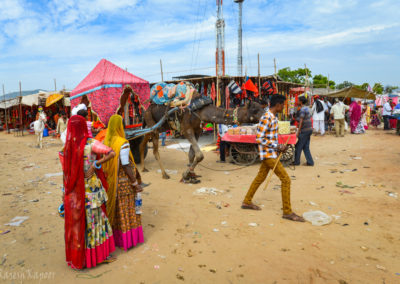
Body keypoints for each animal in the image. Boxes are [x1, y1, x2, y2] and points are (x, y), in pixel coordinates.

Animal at [138, 95, 266, 183]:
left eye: (261, 107)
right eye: (255, 110)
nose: (266, 115)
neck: (201, 111)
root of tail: (146, 109)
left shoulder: (197, 131)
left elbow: (191, 154)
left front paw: (191, 176)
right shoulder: (186, 130)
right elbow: (199, 155)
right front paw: (185, 175)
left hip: (155, 127)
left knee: (142, 143)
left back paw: (143, 168)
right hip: (153, 125)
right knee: (155, 150)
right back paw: (164, 174)